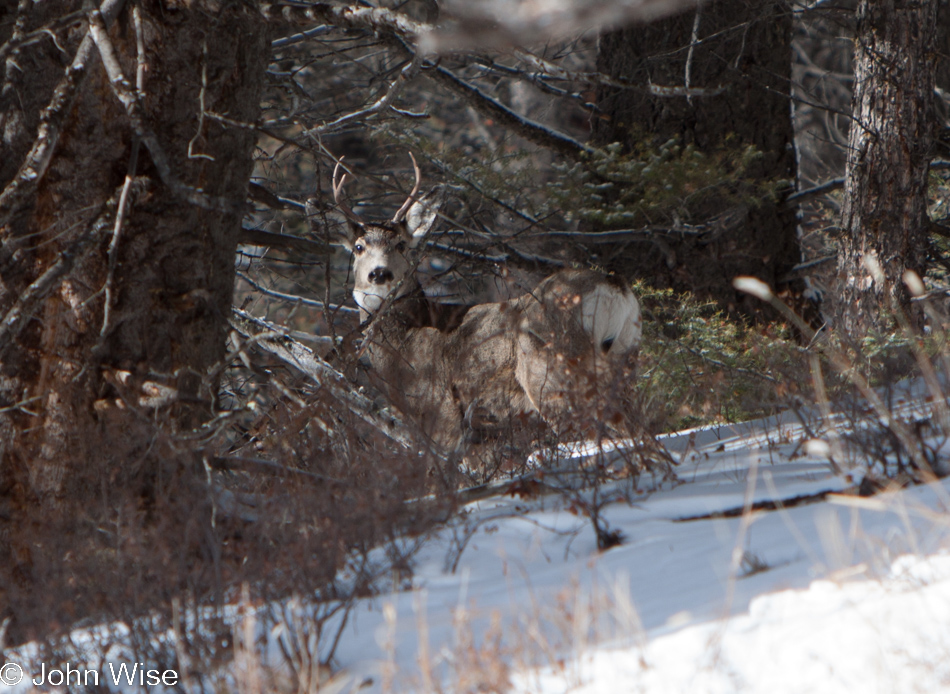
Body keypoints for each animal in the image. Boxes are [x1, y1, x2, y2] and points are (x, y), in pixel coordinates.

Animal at [330, 156, 644, 474]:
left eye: (401, 245)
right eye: (359, 247)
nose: (379, 273)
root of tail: (612, 287)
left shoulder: (443, 412)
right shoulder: (484, 432)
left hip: (551, 372)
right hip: (623, 361)